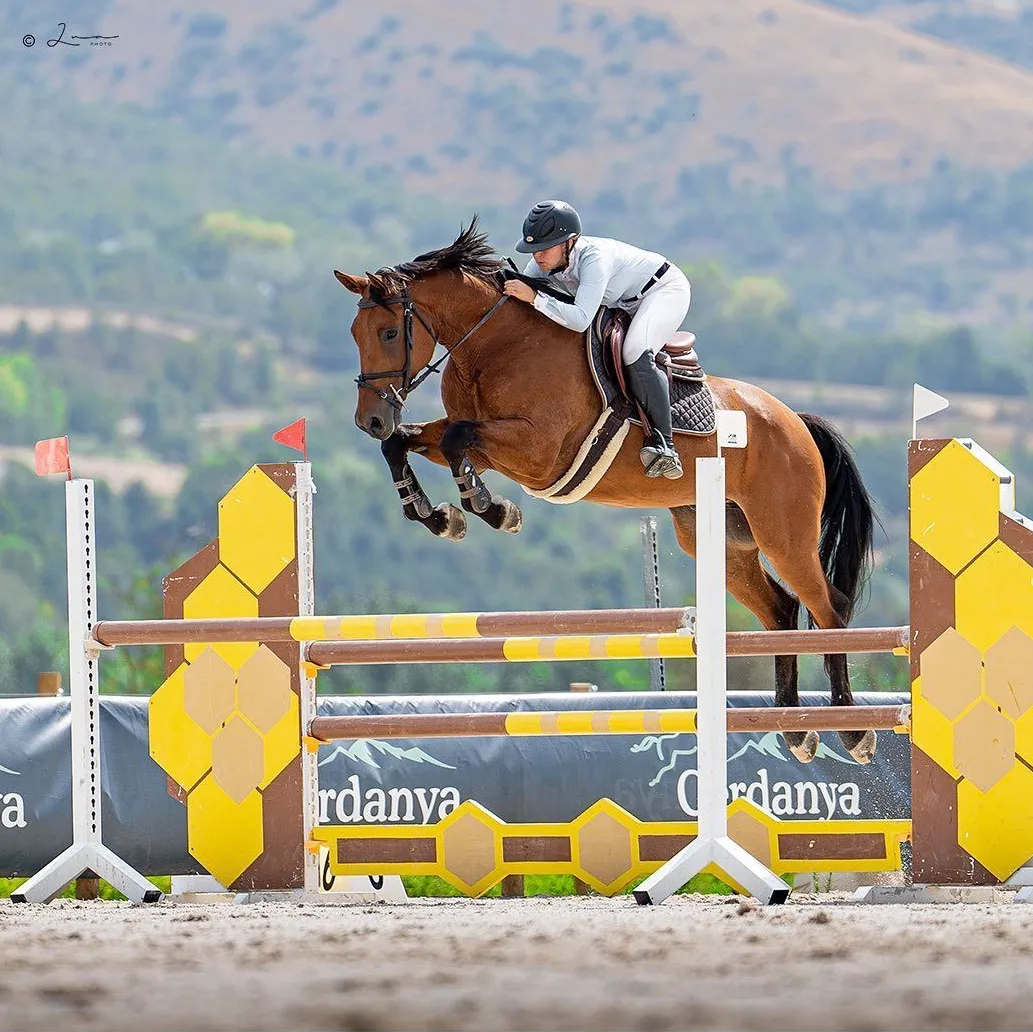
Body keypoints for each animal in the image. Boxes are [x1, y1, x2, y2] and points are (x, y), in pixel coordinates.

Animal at [333, 219, 877, 764]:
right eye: (355, 335)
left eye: (388, 333)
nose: (369, 420)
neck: (492, 345)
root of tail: (794, 420)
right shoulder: (489, 446)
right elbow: (409, 444)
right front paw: (437, 514)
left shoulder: (537, 451)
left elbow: (455, 440)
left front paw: (491, 508)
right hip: (720, 539)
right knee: (782, 609)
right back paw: (796, 729)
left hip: (782, 533)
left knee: (828, 607)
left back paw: (852, 729)